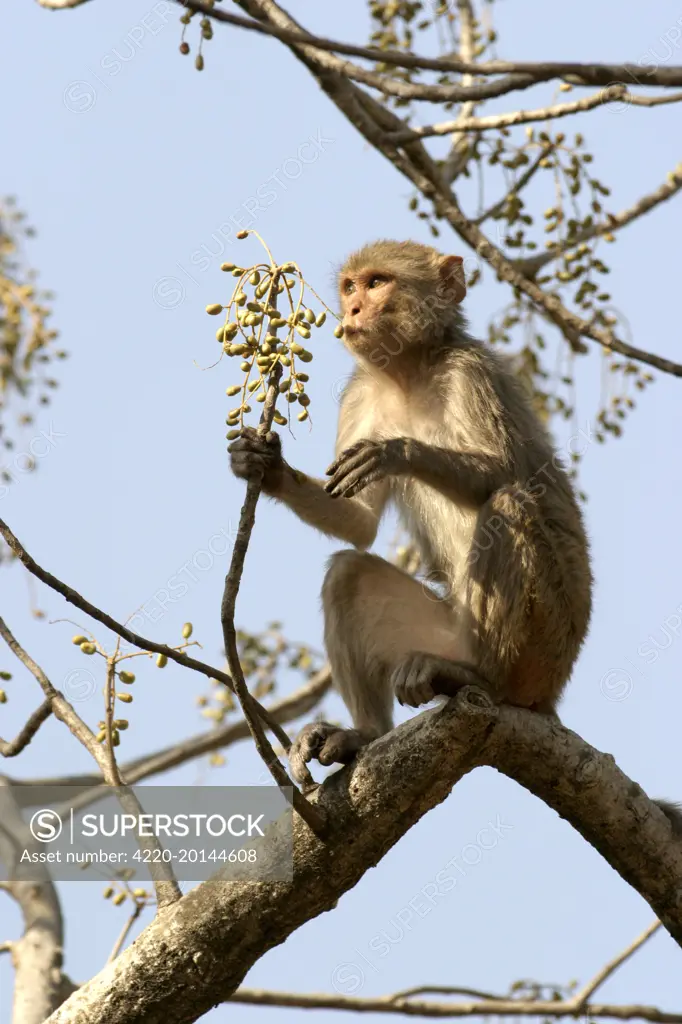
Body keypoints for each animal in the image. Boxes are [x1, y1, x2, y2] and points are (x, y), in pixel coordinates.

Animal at [229, 239, 679, 839]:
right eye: (349, 287)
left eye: (377, 283)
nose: (352, 310)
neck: (408, 373)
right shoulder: (360, 394)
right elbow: (357, 524)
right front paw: (264, 465)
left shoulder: (472, 372)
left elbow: (510, 472)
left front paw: (397, 451)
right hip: (443, 631)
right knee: (349, 574)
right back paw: (368, 733)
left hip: (542, 647)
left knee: (508, 503)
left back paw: (484, 679)